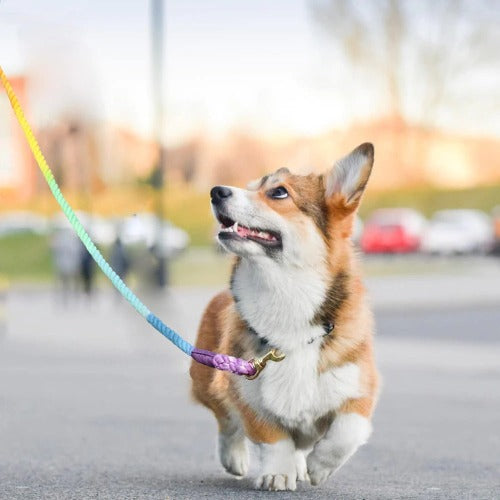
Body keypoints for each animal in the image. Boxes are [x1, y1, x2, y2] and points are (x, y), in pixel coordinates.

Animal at [191, 143, 378, 490]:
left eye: (278, 192)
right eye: (250, 186)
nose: (216, 191)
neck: (286, 295)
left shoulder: (360, 389)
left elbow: (347, 431)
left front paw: (319, 467)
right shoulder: (246, 392)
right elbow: (273, 438)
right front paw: (277, 473)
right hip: (207, 380)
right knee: (226, 422)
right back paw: (235, 458)